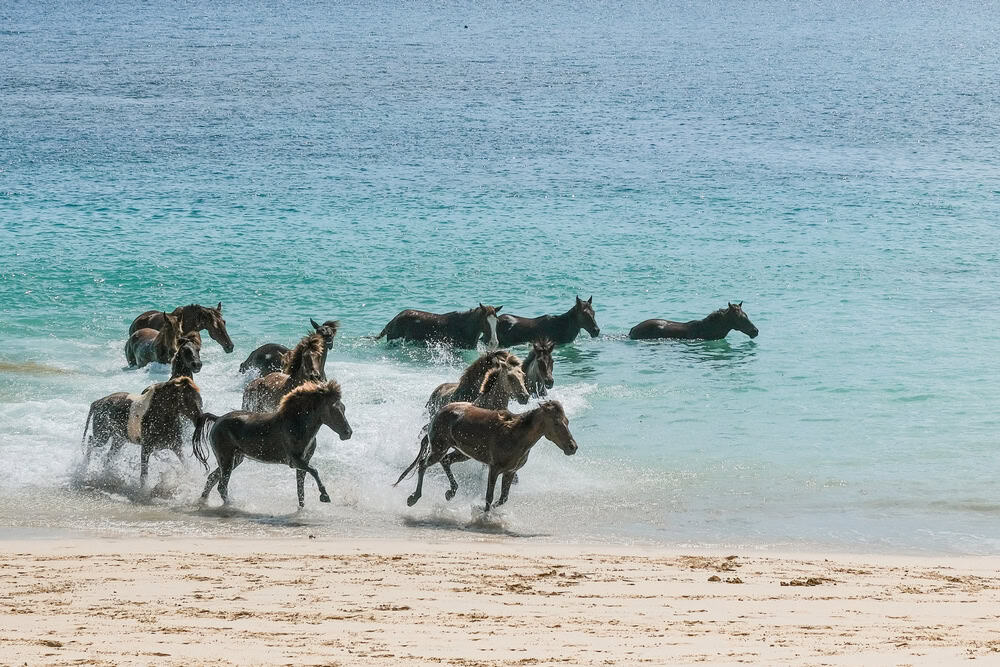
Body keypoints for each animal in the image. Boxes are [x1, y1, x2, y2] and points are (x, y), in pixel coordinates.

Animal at [193, 381, 352, 508]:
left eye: (344, 408)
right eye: (334, 410)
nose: (348, 433)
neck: (297, 424)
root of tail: (218, 418)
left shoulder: (303, 462)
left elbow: (300, 491)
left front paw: (302, 509)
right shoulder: (296, 461)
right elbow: (314, 471)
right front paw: (325, 496)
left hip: (235, 459)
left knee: (212, 479)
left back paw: (202, 501)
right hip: (226, 458)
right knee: (221, 485)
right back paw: (231, 505)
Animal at [400, 401, 577, 512]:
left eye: (567, 421)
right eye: (556, 423)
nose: (573, 447)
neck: (516, 434)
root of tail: (438, 413)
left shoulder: (510, 472)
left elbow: (503, 498)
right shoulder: (494, 468)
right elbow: (489, 497)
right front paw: (483, 515)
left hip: (463, 452)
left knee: (446, 461)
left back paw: (451, 492)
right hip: (439, 448)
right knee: (423, 464)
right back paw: (413, 498)